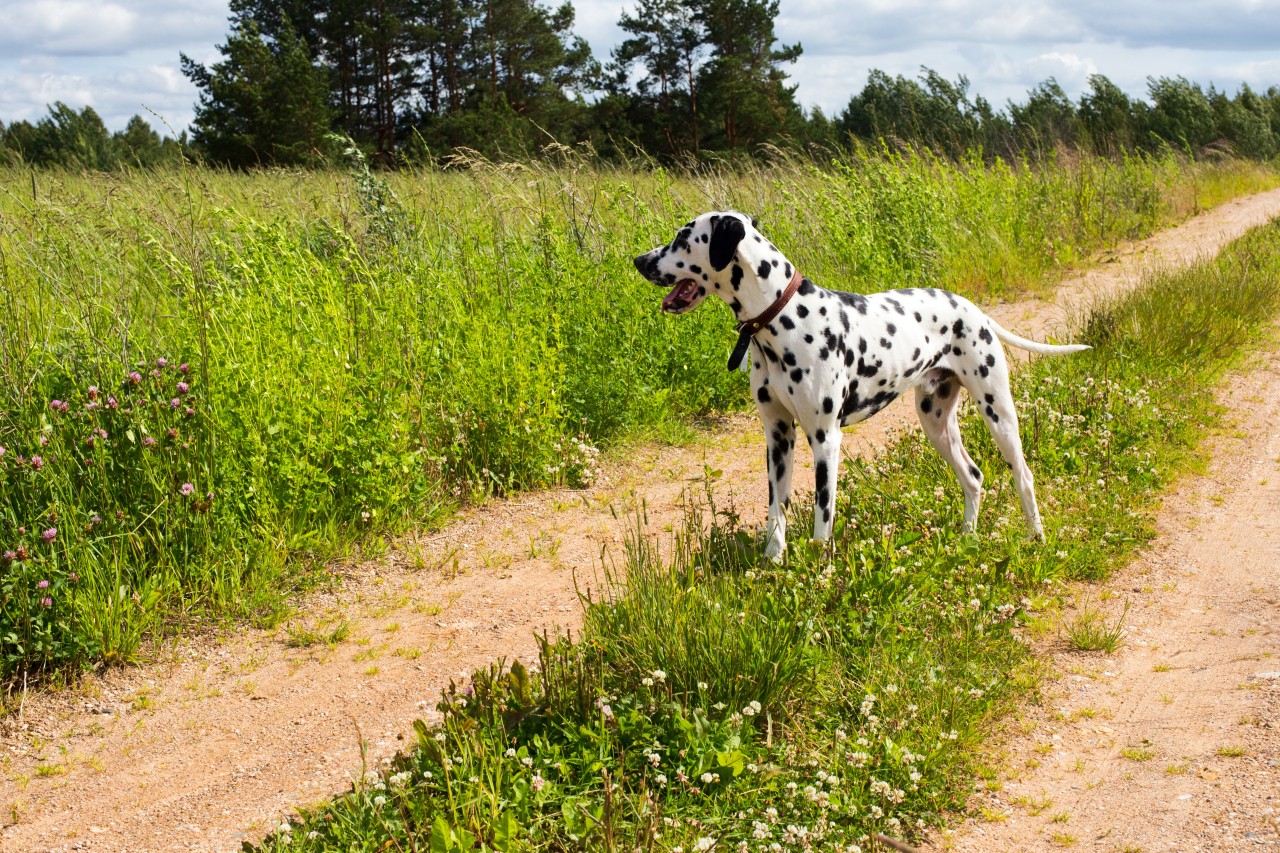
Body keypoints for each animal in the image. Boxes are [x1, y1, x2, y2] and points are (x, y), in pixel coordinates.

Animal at [632, 211, 1090, 558]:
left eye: (682, 238)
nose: (638, 260)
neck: (782, 316)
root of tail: (972, 308)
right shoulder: (777, 436)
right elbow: (776, 511)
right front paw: (772, 566)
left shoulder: (825, 439)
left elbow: (823, 513)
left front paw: (817, 572)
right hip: (936, 422)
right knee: (974, 477)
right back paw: (967, 539)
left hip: (998, 411)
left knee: (1023, 475)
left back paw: (1036, 537)